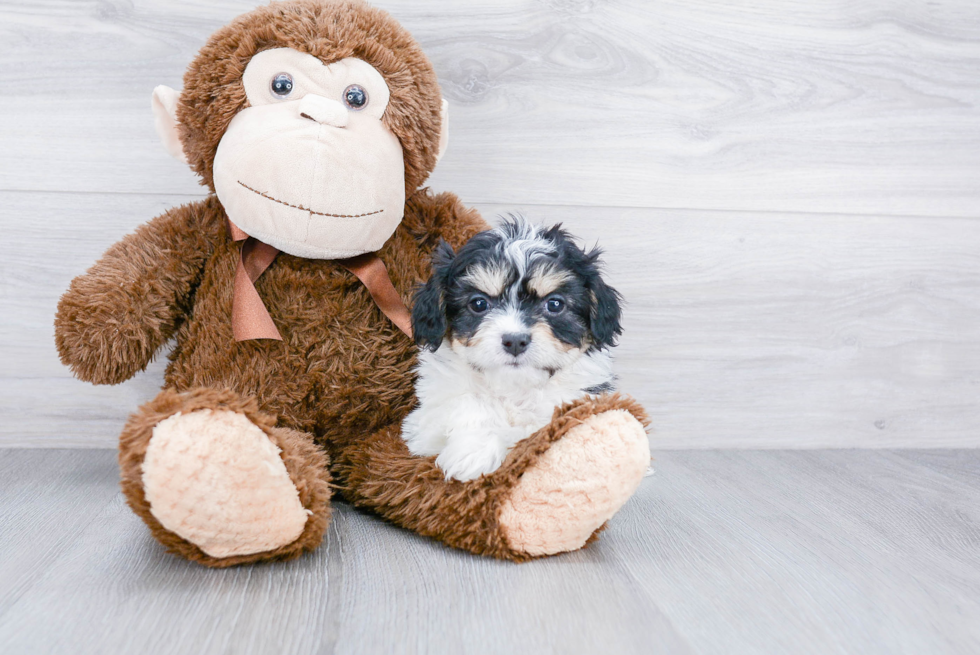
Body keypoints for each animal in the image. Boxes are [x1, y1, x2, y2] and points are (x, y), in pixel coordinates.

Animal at [402, 215, 624, 482]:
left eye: (555, 304)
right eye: (479, 304)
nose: (515, 341)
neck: (513, 388)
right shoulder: (433, 407)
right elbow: (467, 403)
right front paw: (473, 452)